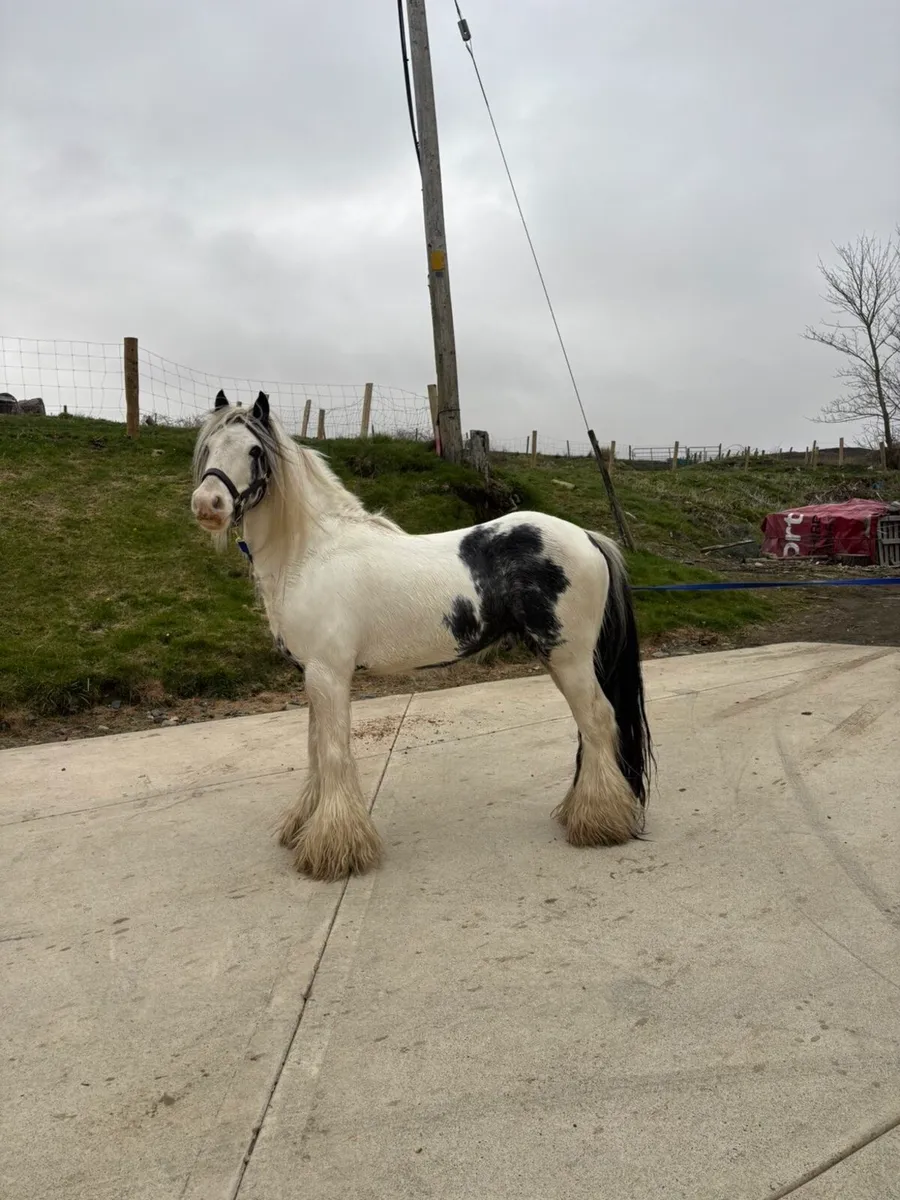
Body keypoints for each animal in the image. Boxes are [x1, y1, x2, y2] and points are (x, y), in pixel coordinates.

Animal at [190, 390, 652, 883]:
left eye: (254, 451)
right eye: (209, 445)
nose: (208, 505)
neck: (313, 555)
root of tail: (587, 536)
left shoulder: (329, 674)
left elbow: (332, 752)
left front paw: (334, 849)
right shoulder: (313, 676)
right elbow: (316, 749)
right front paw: (306, 826)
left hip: (569, 657)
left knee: (599, 720)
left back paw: (598, 822)